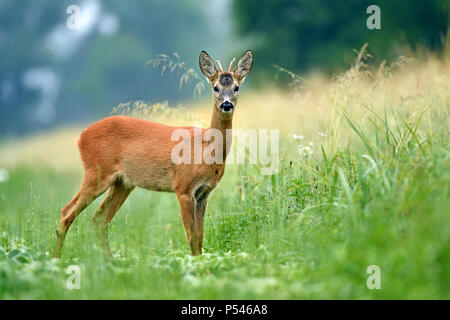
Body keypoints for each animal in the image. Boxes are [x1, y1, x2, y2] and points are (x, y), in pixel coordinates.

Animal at [54, 51, 253, 258]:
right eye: (216, 88)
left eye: (236, 87)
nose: (227, 104)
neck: (206, 149)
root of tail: (81, 137)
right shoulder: (183, 188)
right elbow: (191, 237)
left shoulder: (203, 193)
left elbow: (199, 238)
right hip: (97, 172)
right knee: (67, 212)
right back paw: (56, 259)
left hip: (123, 183)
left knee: (99, 219)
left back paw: (109, 260)